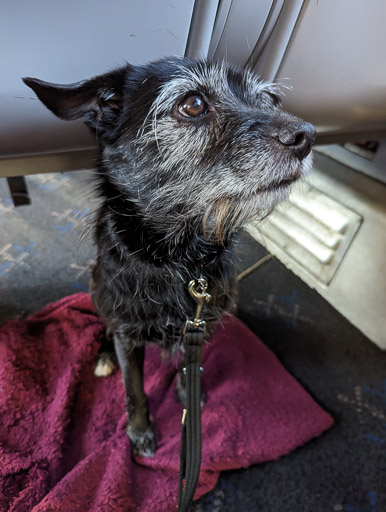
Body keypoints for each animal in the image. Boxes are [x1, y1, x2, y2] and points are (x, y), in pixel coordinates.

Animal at [23, 58, 314, 458]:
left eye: (271, 99)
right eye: (193, 104)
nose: (307, 135)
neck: (181, 257)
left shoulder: (201, 323)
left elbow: (190, 366)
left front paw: (188, 393)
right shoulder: (128, 335)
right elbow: (134, 389)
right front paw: (140, 430)